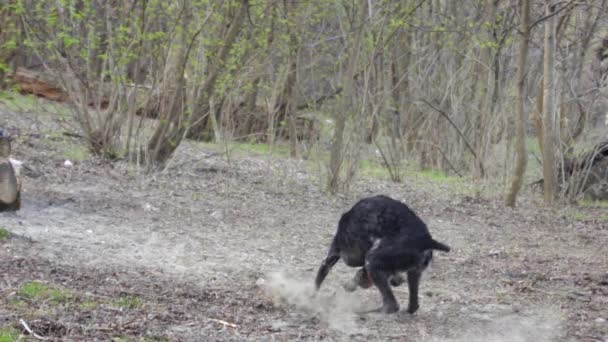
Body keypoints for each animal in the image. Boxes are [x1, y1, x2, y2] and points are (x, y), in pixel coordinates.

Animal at [316, 196, 448, 314]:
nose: (397, 281)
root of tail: (426, 240)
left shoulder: (339, 253)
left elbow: (322, 275)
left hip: (372, 262)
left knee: (392, 305)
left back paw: (362, 311)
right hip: (413, 273)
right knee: (413, 306)